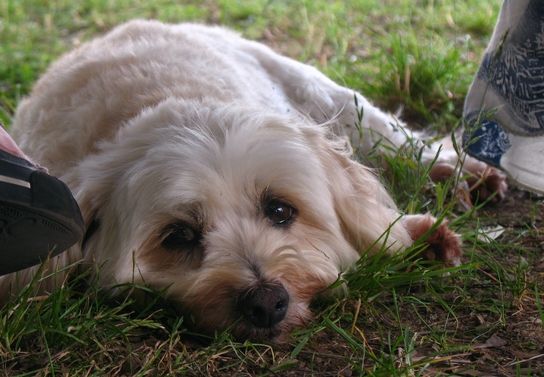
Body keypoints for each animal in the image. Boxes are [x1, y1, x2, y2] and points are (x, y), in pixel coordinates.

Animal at [2, 19, 508, 340]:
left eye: (280, 209)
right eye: (178, 236)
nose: (266, 303)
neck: (174, 101)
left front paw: (415, 234)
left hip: (326, 95)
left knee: (396, 137)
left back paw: (460, 170)